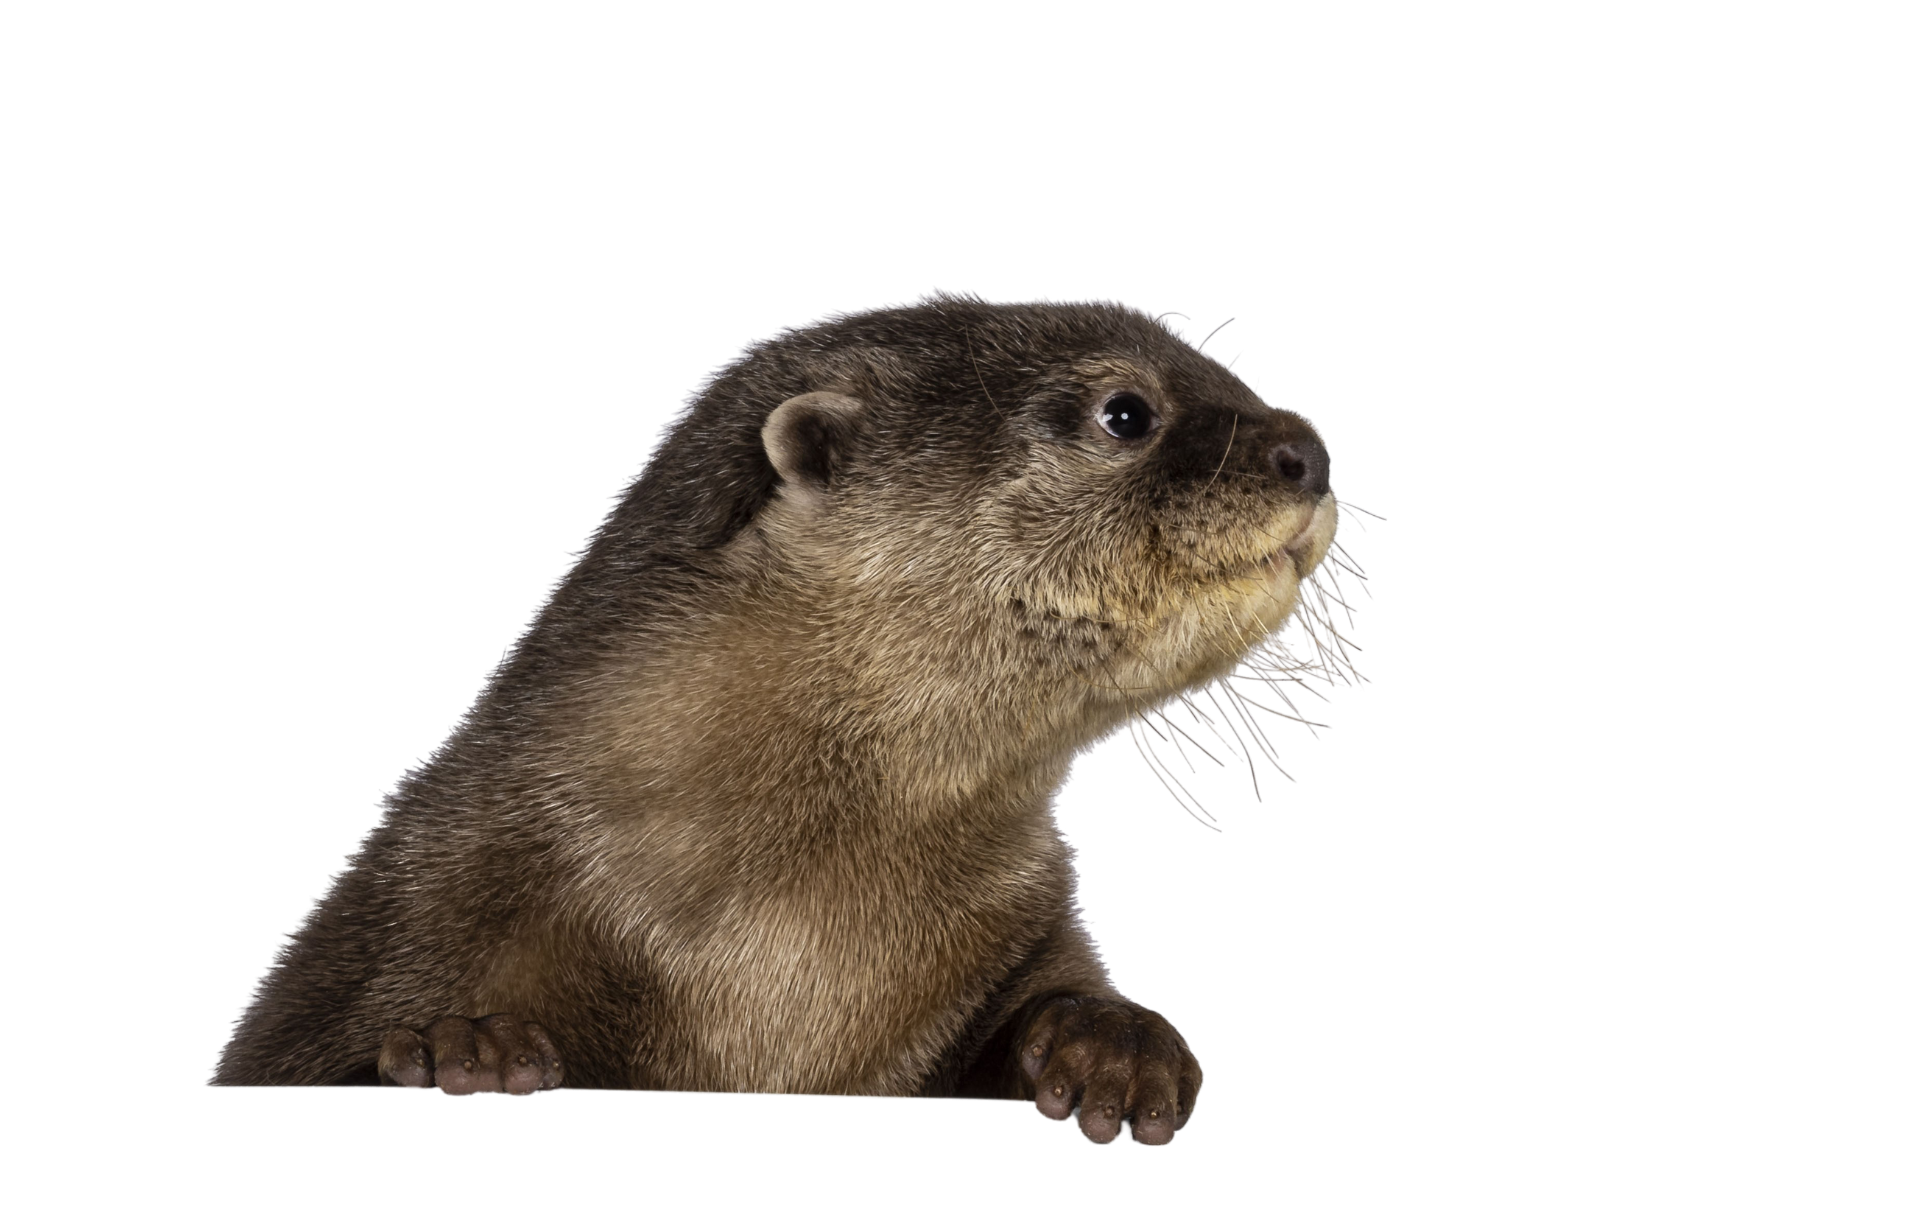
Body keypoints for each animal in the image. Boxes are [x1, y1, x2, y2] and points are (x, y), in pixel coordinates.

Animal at [209, 289, 1375, 1146]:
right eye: (1125, 413)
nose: (1307, 449)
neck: (771, 945)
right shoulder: (421, 899)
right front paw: (464, 1051)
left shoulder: (1016, 917)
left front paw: (1114, 1049)